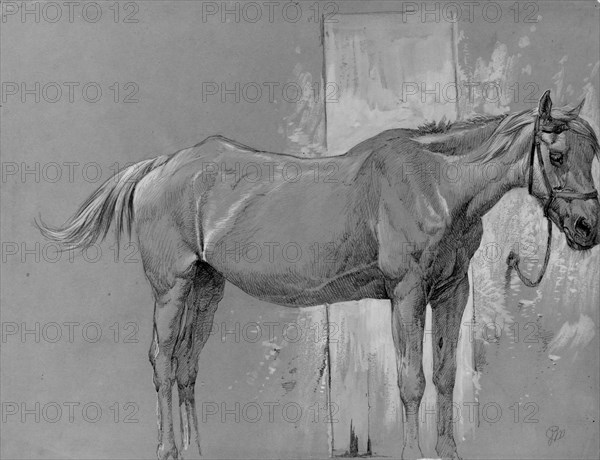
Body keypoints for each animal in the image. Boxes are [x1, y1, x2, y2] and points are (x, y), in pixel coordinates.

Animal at [39, 90, 596, 460]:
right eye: (557, 155)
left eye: (592, 154)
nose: (587, 227)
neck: (436, 183)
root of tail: (160, 166)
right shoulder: (408, 295)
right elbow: (411, 381)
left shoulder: (451, 293)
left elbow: (444, 375)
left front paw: (448, 451)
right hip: (171, 289)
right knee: (161, 363)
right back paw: (168, 448)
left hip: (206, 289)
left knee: (186, 367)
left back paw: (195, 450)